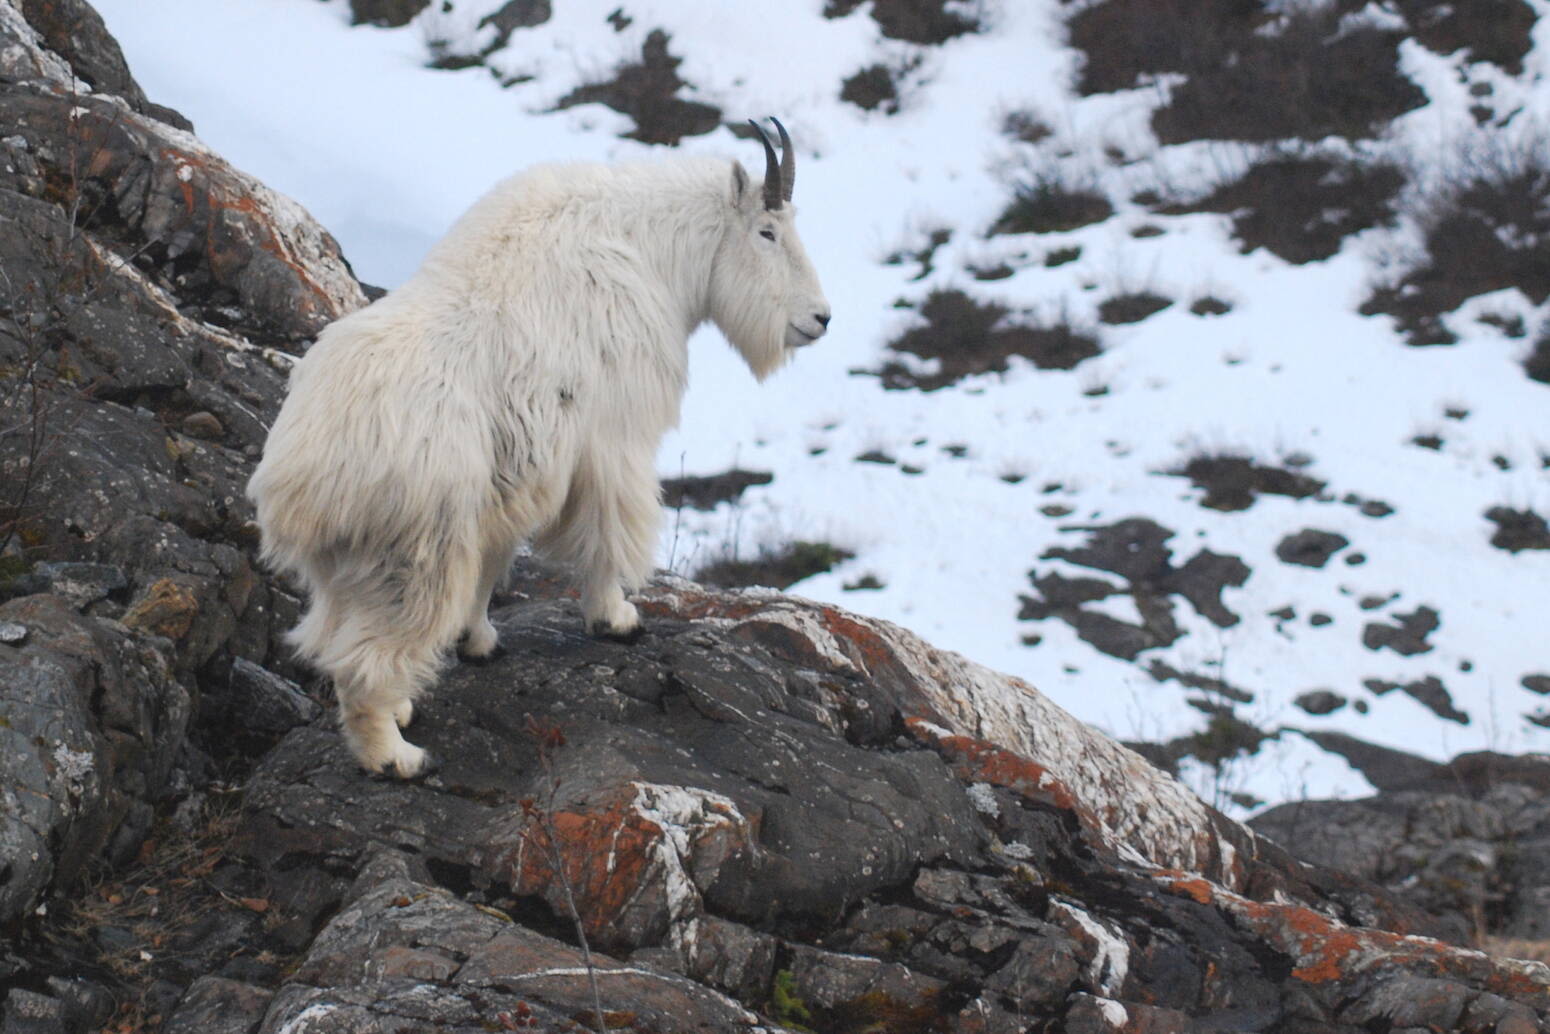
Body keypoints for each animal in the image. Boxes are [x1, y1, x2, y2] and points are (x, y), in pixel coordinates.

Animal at [248, 121, 830, 775]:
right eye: (767, 231)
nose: (820, 318)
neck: (651, 249)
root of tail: (300, 476)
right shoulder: (612, 439)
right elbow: (607, 530)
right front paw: (617, 619)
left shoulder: (519, 473)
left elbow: (496, 560)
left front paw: (479, 642)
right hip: (417, 552)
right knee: (365, 661)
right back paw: (397, 756)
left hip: (345, 568)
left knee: (332, 636)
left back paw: (399, 711)